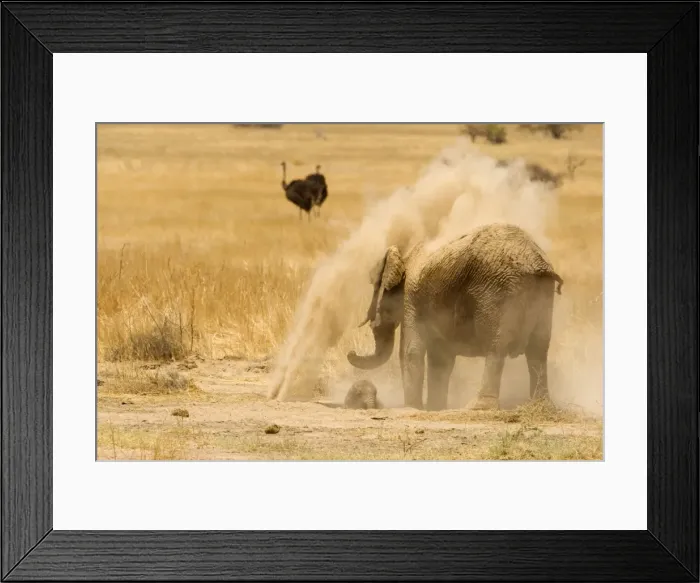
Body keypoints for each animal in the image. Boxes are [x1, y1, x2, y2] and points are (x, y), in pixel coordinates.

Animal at [347, 223, 563, 411]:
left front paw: (412, 408)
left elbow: (410, 351)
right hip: (542, 294)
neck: (404, 258)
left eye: (375, 288)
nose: (350, 352)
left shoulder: (411, 297)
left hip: (498, 293)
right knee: (538, 348)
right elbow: (440, 359)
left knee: (497, 347)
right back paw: (541, 406)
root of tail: (536, 263)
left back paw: (478, 407)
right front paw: (435, 408)